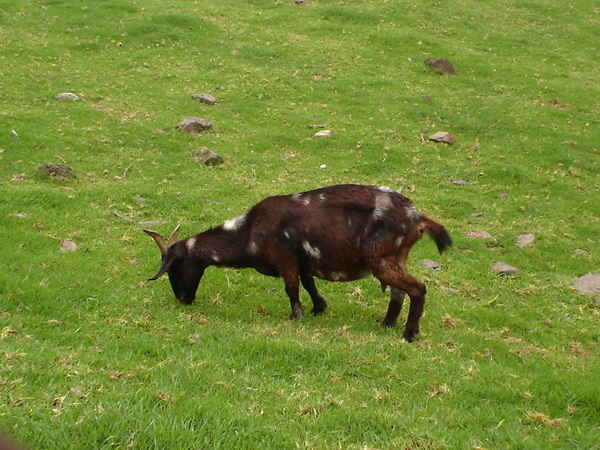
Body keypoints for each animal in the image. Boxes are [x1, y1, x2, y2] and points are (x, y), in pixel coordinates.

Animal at [145, 183, 452, 342]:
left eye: (173, 268)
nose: (183, 299)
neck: (248, 232)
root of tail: (417, 218)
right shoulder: (303, 262)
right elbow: (308, 283)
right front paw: (318, 308)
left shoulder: (285, 260)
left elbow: (291, 288)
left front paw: (297, 316)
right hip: (395, 258)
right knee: (399, 292)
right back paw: (387, 324)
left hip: (381, 260)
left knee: (418, 288)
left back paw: (409, 333)